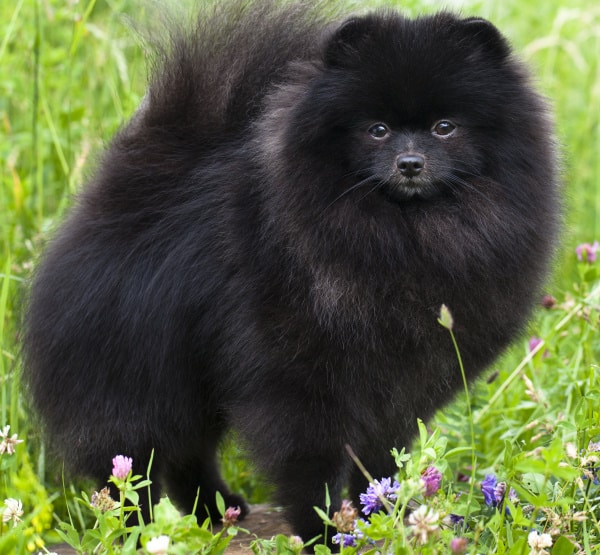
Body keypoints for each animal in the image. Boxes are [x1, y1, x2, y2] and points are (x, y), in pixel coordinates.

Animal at [22, 0, 556, 548]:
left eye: (445, 127)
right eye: (377, 130)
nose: (410, 162)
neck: (402, 237)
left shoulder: (399, 386)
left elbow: (381, 459)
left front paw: (385, 516)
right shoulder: (295, 383)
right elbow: (309, 469)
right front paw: (322, 534)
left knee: (188, 450)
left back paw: (213, 510)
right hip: (133, 374)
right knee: (128, 463)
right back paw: (136, 530)